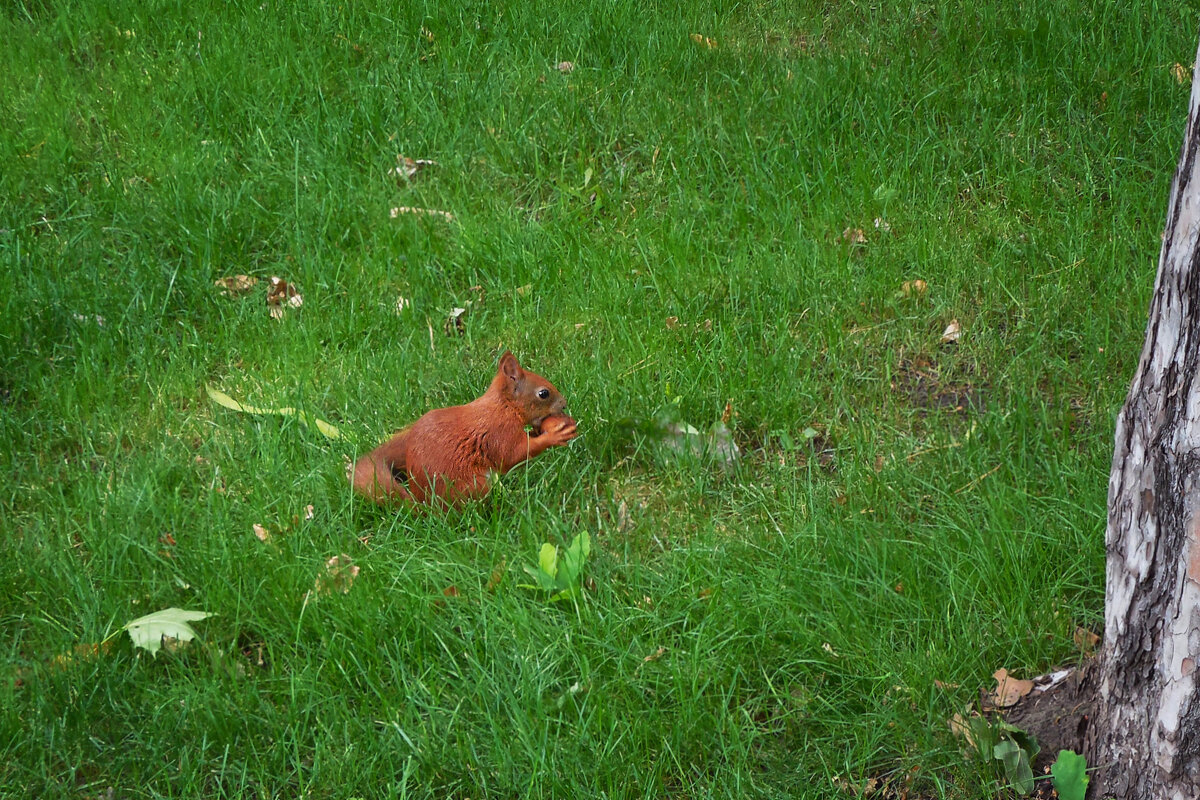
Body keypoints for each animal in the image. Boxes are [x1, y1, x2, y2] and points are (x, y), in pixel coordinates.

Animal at [350, 350, 576, 506]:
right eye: (543, 393)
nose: (564, 404)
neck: (505, 407)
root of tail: (427, 509)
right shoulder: (499, 432)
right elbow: (513, 456)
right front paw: (553, 436)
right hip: (474, 485)